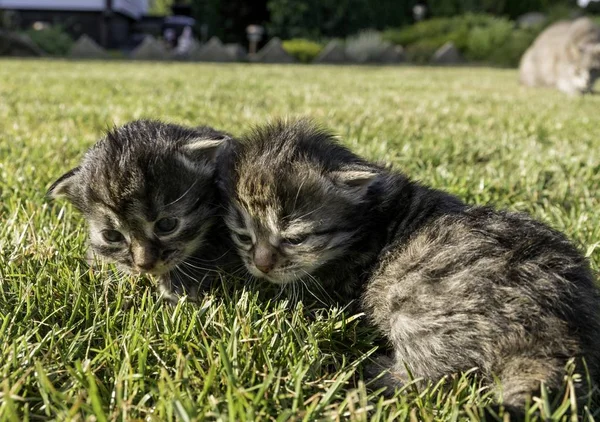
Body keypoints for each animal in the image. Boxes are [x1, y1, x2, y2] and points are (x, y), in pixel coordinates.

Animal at [219, 118, 600, 412]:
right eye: (243, 236)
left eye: (295, 238)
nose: (261, 265)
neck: (371, 217)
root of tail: (559, 337)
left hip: (414, 310)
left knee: (431, 376)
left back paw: (371, 371)